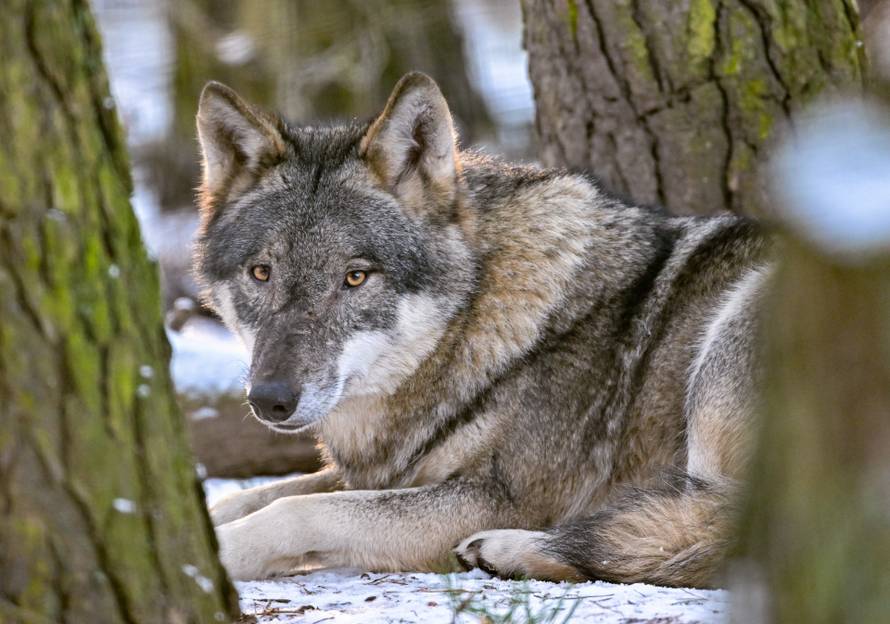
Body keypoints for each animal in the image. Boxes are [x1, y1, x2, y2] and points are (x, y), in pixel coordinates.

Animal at [194, 71, 771, 588]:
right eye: (261, 273)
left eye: (355, 277)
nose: (269, 399)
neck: (473, 324)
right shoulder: (395, 471)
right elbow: (247, 496)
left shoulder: (498, 497)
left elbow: (297, 510)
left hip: (731, 338)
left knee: (716, 530)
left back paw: (512, 550)